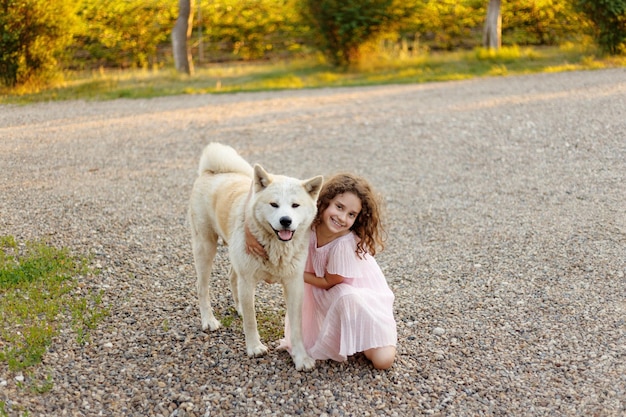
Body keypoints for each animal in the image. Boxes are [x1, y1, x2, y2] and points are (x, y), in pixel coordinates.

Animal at [188, 143, 320, 370]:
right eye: (274, 204)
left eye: (295, 205)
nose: (285, 221)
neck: (275, 246)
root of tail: (212, 171)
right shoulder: (248, 280)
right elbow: (251, 321)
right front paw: (254, 347)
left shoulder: (294, 284)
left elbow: (296, 328)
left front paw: (301, 358)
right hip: (205, 247)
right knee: (202, 287)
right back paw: (209, 320)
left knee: (232, 276)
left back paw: (238, 307)